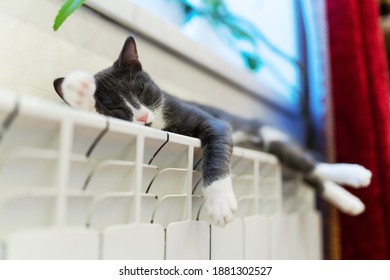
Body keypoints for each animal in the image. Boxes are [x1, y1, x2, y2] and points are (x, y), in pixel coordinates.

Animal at [52, 36, 372, 226]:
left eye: (141, 89)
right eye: (117, 110)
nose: (142, 117)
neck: (162, 121)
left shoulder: (211, 121)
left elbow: (216, 151)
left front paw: (219, 202)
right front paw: (78, 91)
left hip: (272, 138)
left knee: (311, 166)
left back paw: (354, 175)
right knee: (308, 174)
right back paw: (350, 200)